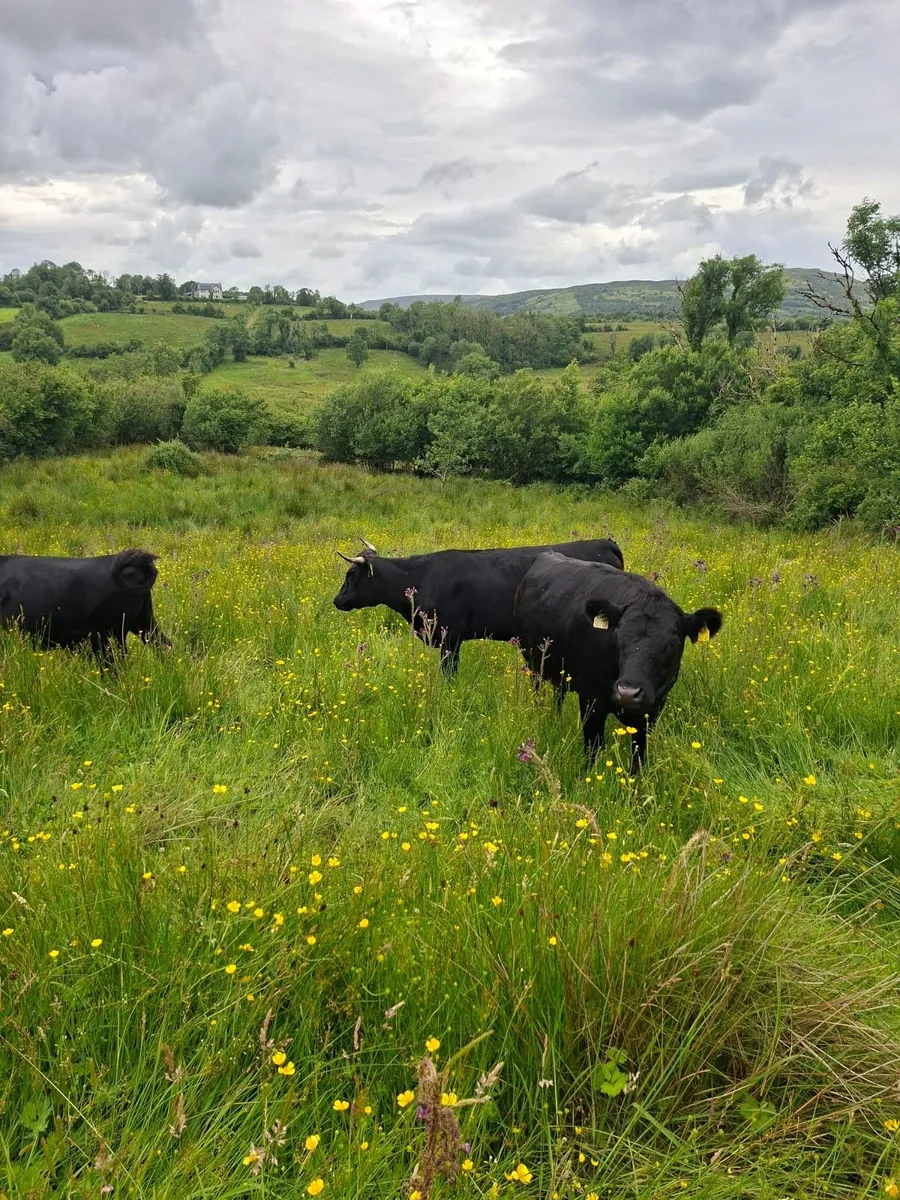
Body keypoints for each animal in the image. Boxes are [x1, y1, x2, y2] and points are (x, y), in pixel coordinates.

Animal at [514, 552, 722, 769]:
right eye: (618, 636)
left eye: (673, 643)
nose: (628, 693)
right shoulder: (591, 700)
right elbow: (593, 747)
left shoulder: (654, 708)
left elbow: (638, 755)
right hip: (534, 666)